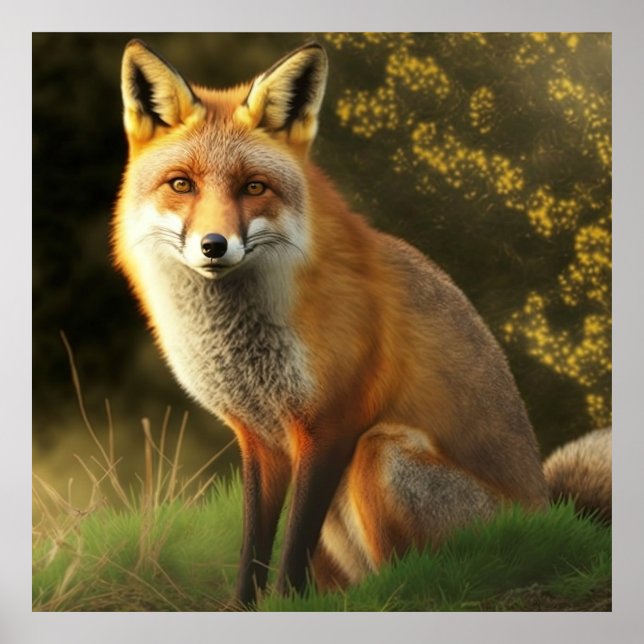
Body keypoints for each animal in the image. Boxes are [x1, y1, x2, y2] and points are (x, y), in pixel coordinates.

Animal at [113, 39, 611, 606]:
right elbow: (253, 546)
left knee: (416, 578)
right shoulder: (260, 439)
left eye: (254, 187)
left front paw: (288, 606)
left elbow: (293, 544)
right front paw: (242, 608)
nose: (214, 246)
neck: (244, 348)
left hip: (380, 453)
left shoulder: (331, 422)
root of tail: (549, 517)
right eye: (182, 184)